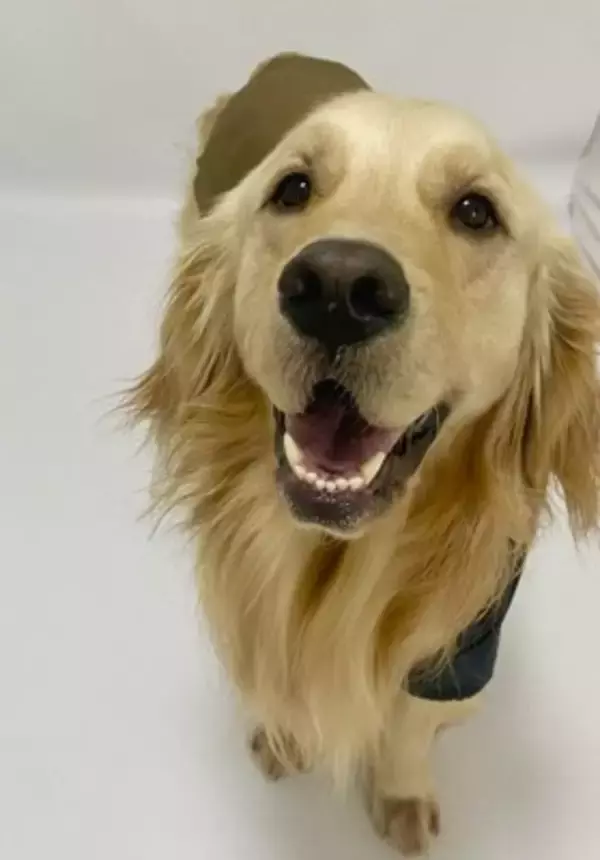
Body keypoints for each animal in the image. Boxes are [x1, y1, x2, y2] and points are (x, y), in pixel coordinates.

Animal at [127, 54, 600, 855]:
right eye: (293, 188)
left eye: (476, 211)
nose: (338, 289)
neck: (337, 563)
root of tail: (287, 57)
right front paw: (287, 738)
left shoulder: (460, 650)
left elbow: (409, 726)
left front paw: (402, 794)